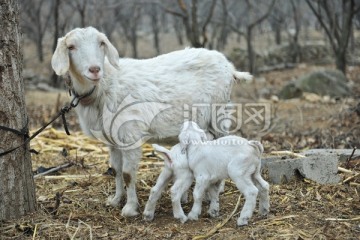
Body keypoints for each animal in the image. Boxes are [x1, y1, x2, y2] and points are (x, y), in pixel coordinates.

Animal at [51, 27, 253, 217]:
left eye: (101, 43)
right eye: (71, 47)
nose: (94, 70)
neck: (105, 86)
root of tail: (230, 68)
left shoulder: (130, 134)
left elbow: (127, 174)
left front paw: (130, 208)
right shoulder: (112, 139)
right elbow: (116, 170)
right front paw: (116, 200)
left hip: (219, 113)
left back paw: (218, 188)